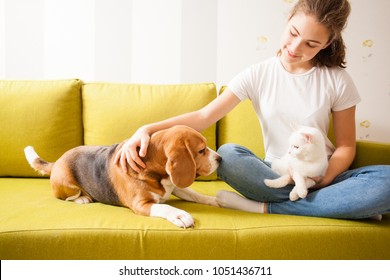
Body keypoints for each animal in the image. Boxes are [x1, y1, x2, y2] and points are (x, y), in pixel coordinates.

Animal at [23, 126, 219, 229]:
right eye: (201, 150)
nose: (220, 158)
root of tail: (57, 161)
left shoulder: (175, 184)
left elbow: (195, 195)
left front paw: (214, 200)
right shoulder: (141, 204)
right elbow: (165, 207)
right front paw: (180, 215)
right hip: (68, 184)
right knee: (67, 197)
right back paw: (83, 198)